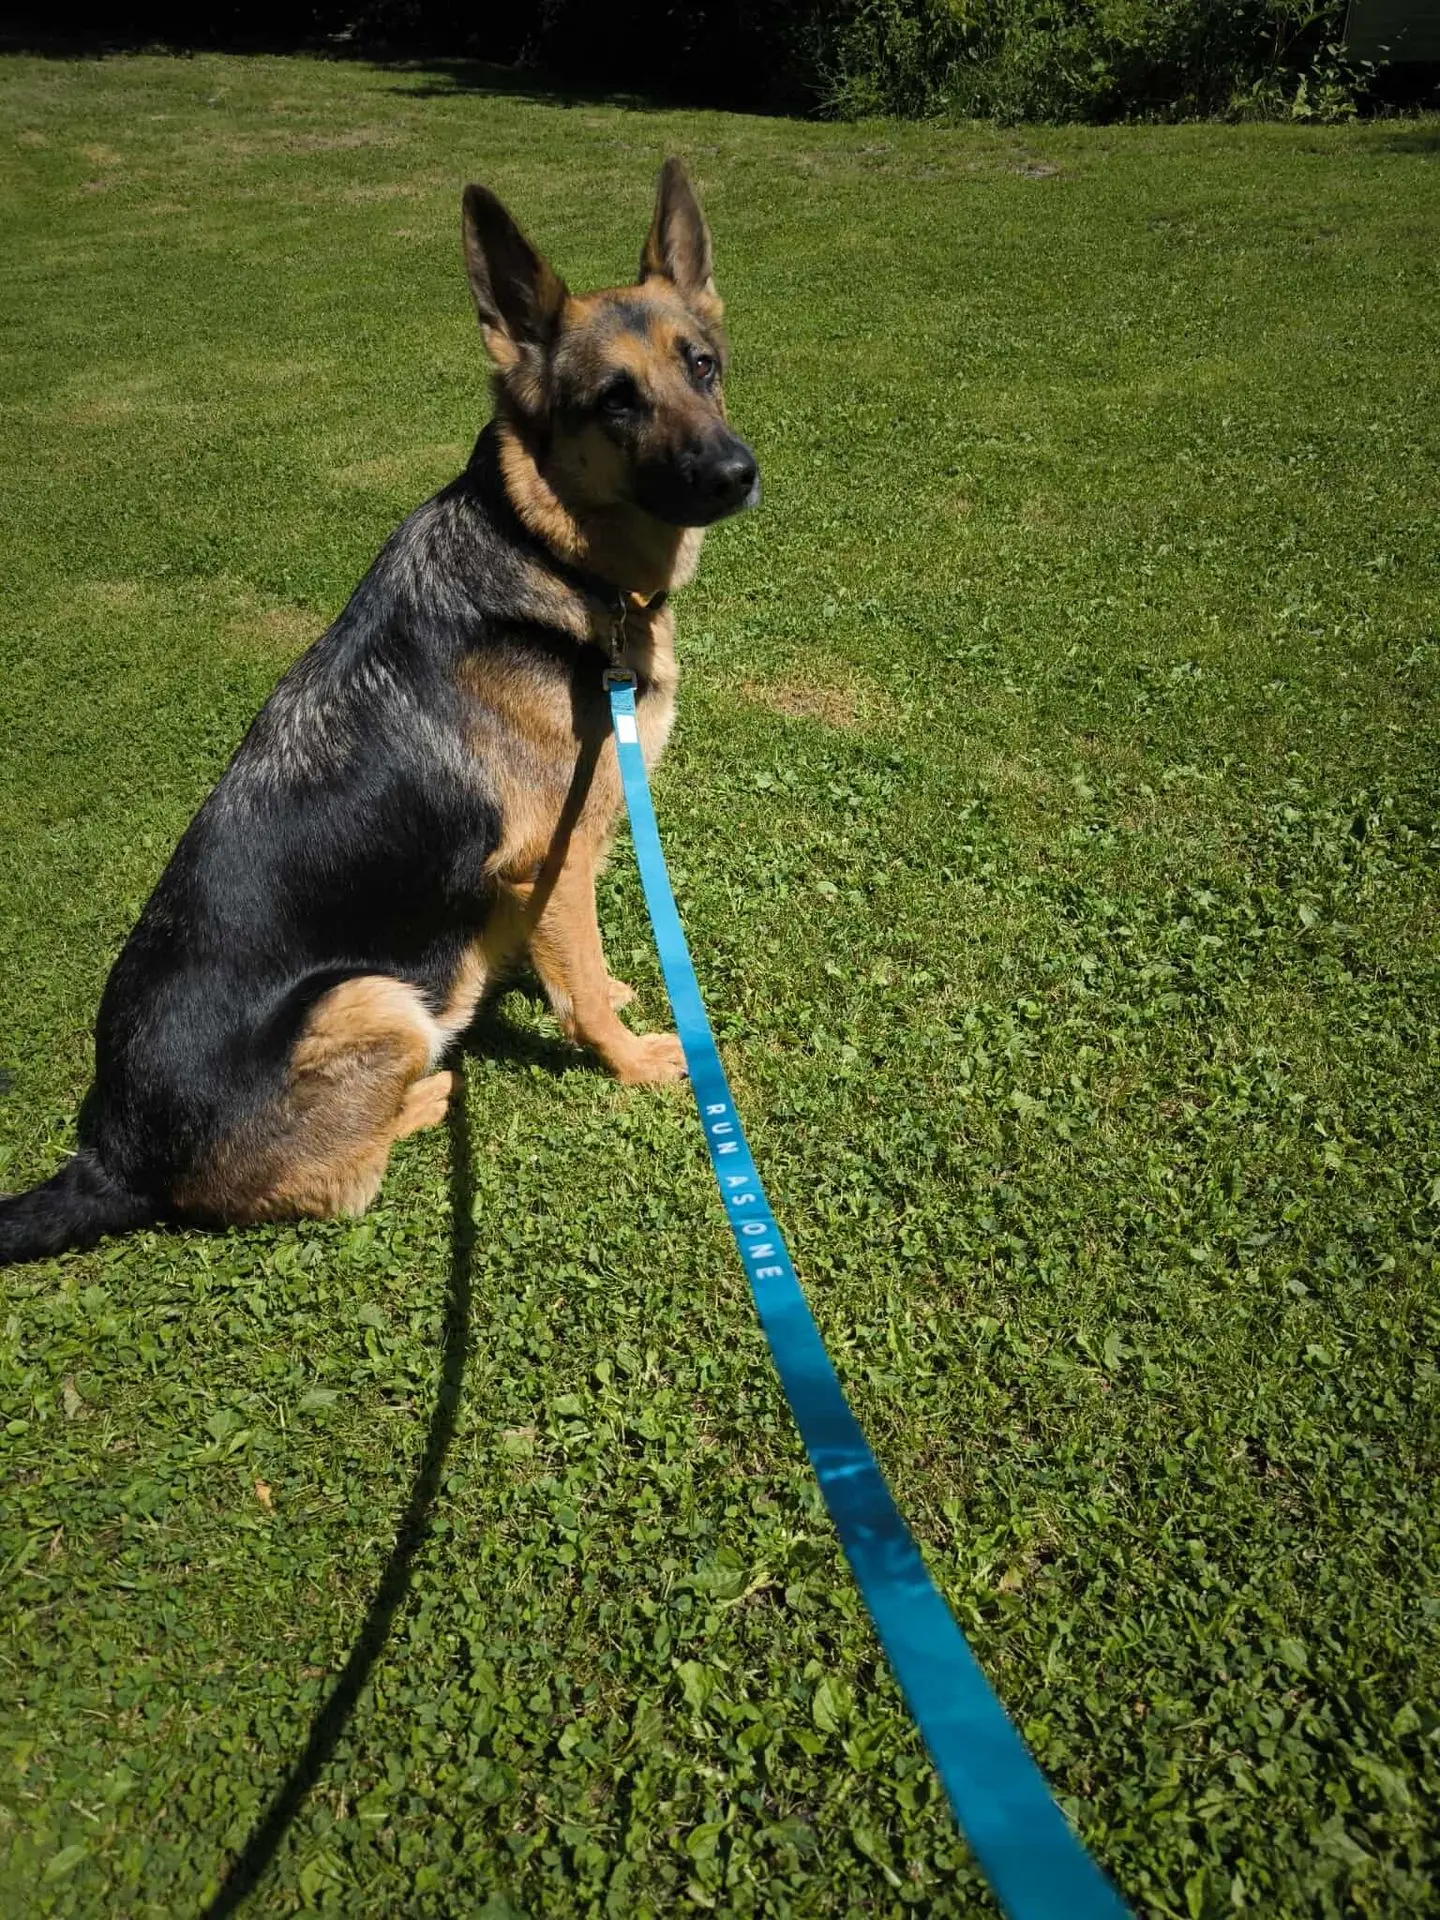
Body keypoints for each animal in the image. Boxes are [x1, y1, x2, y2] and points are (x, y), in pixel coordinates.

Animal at [0, 159, 758, 1264]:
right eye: (615, 401)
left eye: (701, 366)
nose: (737, 475)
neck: (547, 552)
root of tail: (112, 1156)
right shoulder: (552, 857)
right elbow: (577, 984)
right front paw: (631, 1058)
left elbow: (576, 964)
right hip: (375, 998)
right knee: (333, 1181)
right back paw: (427, 1096)